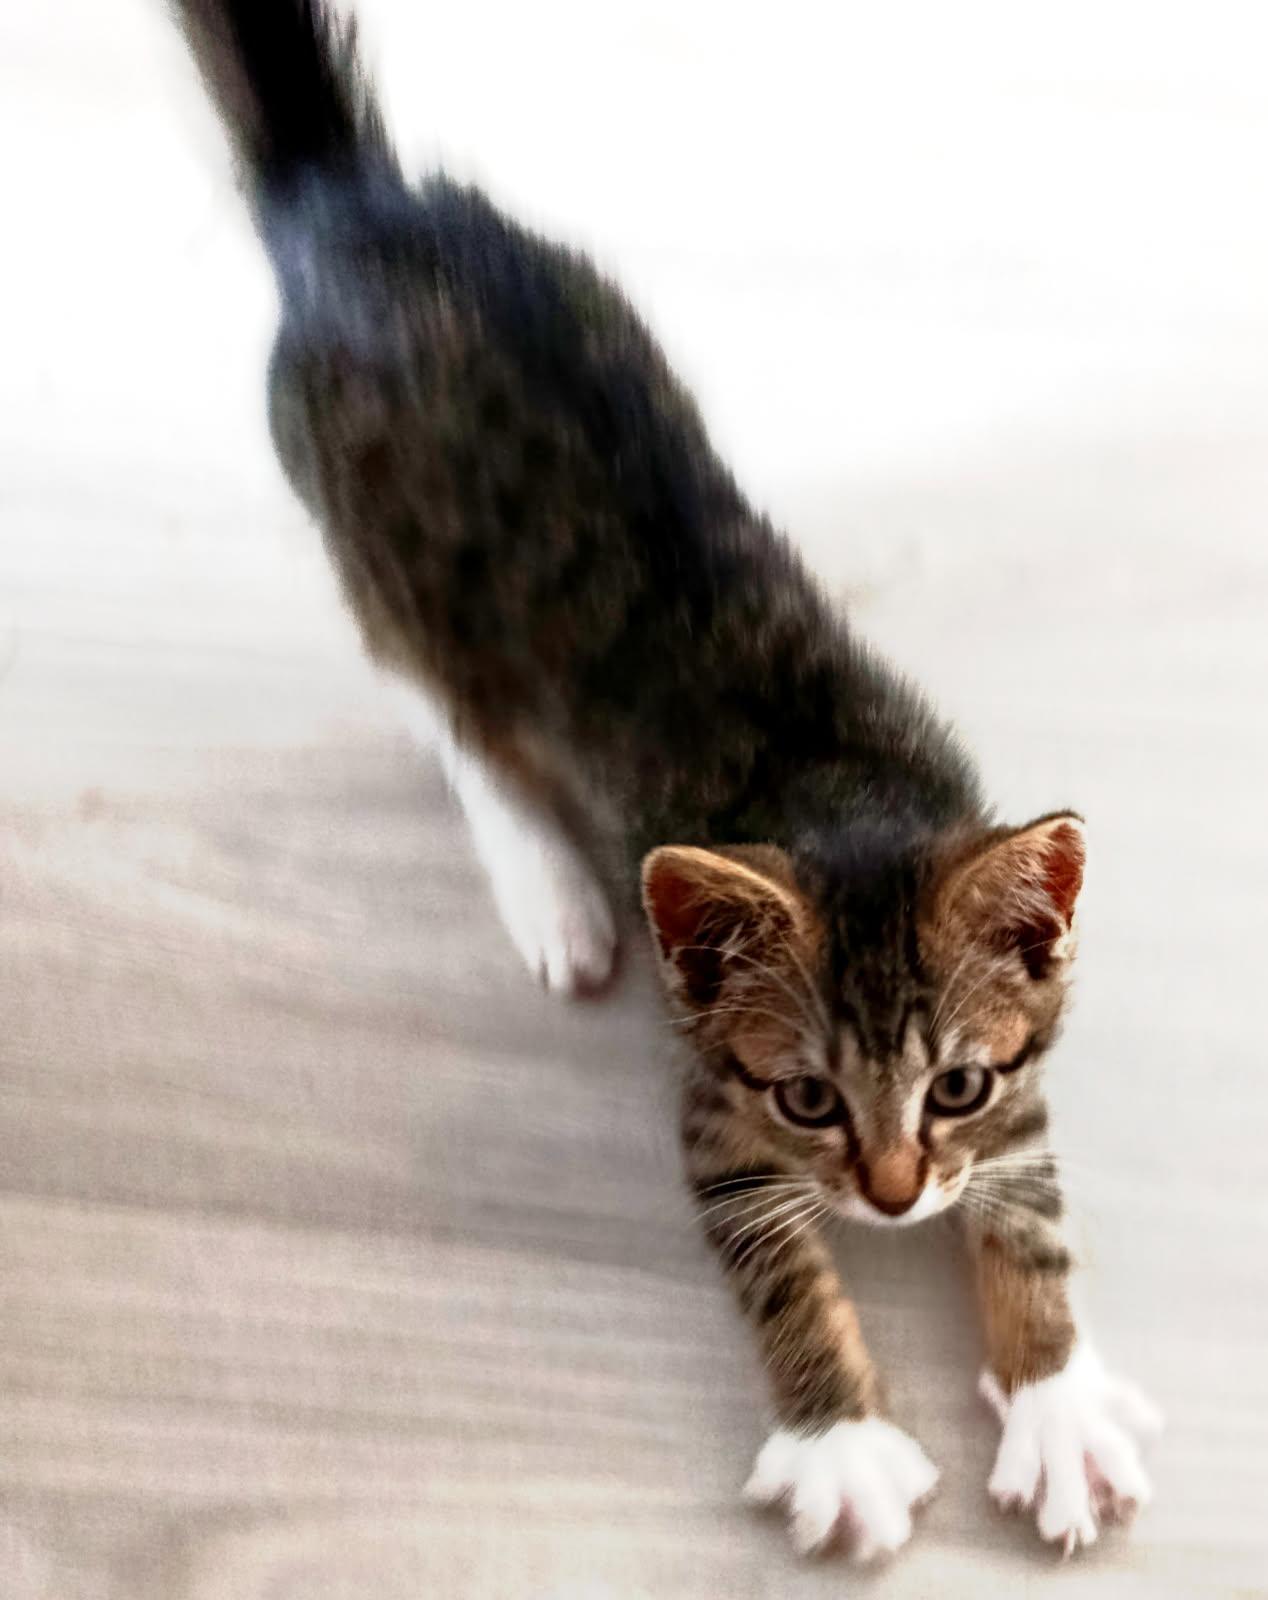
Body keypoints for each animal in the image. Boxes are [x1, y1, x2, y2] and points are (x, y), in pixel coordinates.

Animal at [174, 0, 1161, 1561]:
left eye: (953, 1083)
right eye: (807, 1100)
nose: (892, 1199)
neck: (844, 794)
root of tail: (353, 202)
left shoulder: (1017, 1081)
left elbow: (1030, 1207)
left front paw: (1056, 1397)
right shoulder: (709, 1104)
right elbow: (773, 1261)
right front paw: (841, 1437)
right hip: (376, 557)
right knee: (446, 709)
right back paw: (551, 890)